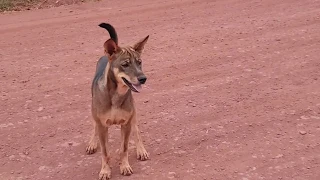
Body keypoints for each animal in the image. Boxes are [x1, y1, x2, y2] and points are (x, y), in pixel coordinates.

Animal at [85, 22, 150, 180]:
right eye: (125, 64)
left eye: (139, 62)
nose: (143, 78)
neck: (116, 95)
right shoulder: (102, 126)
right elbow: (105, 152)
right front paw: (105, 170)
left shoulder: (126, 124)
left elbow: (124, 148)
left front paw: (125, 166)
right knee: (94, 126)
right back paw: (92, 143)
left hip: (133, 115)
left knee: (136, 129)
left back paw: (141, 149)